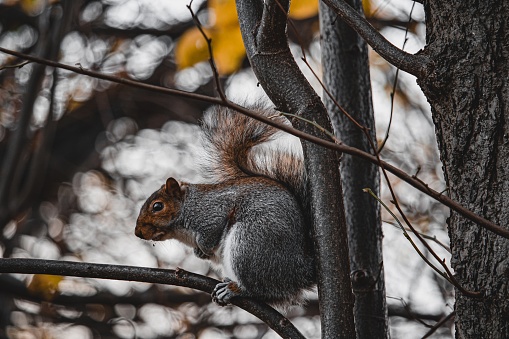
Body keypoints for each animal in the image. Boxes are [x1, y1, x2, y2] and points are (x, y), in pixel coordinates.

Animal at [136, 106, 318, 308]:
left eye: (157, 206)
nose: (138, 232)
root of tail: (299, 272)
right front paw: (199, 252)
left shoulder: (212, 212)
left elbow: (211, 233)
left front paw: (204, 247)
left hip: (250, 243)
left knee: (259, 289)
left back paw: (234, 289)